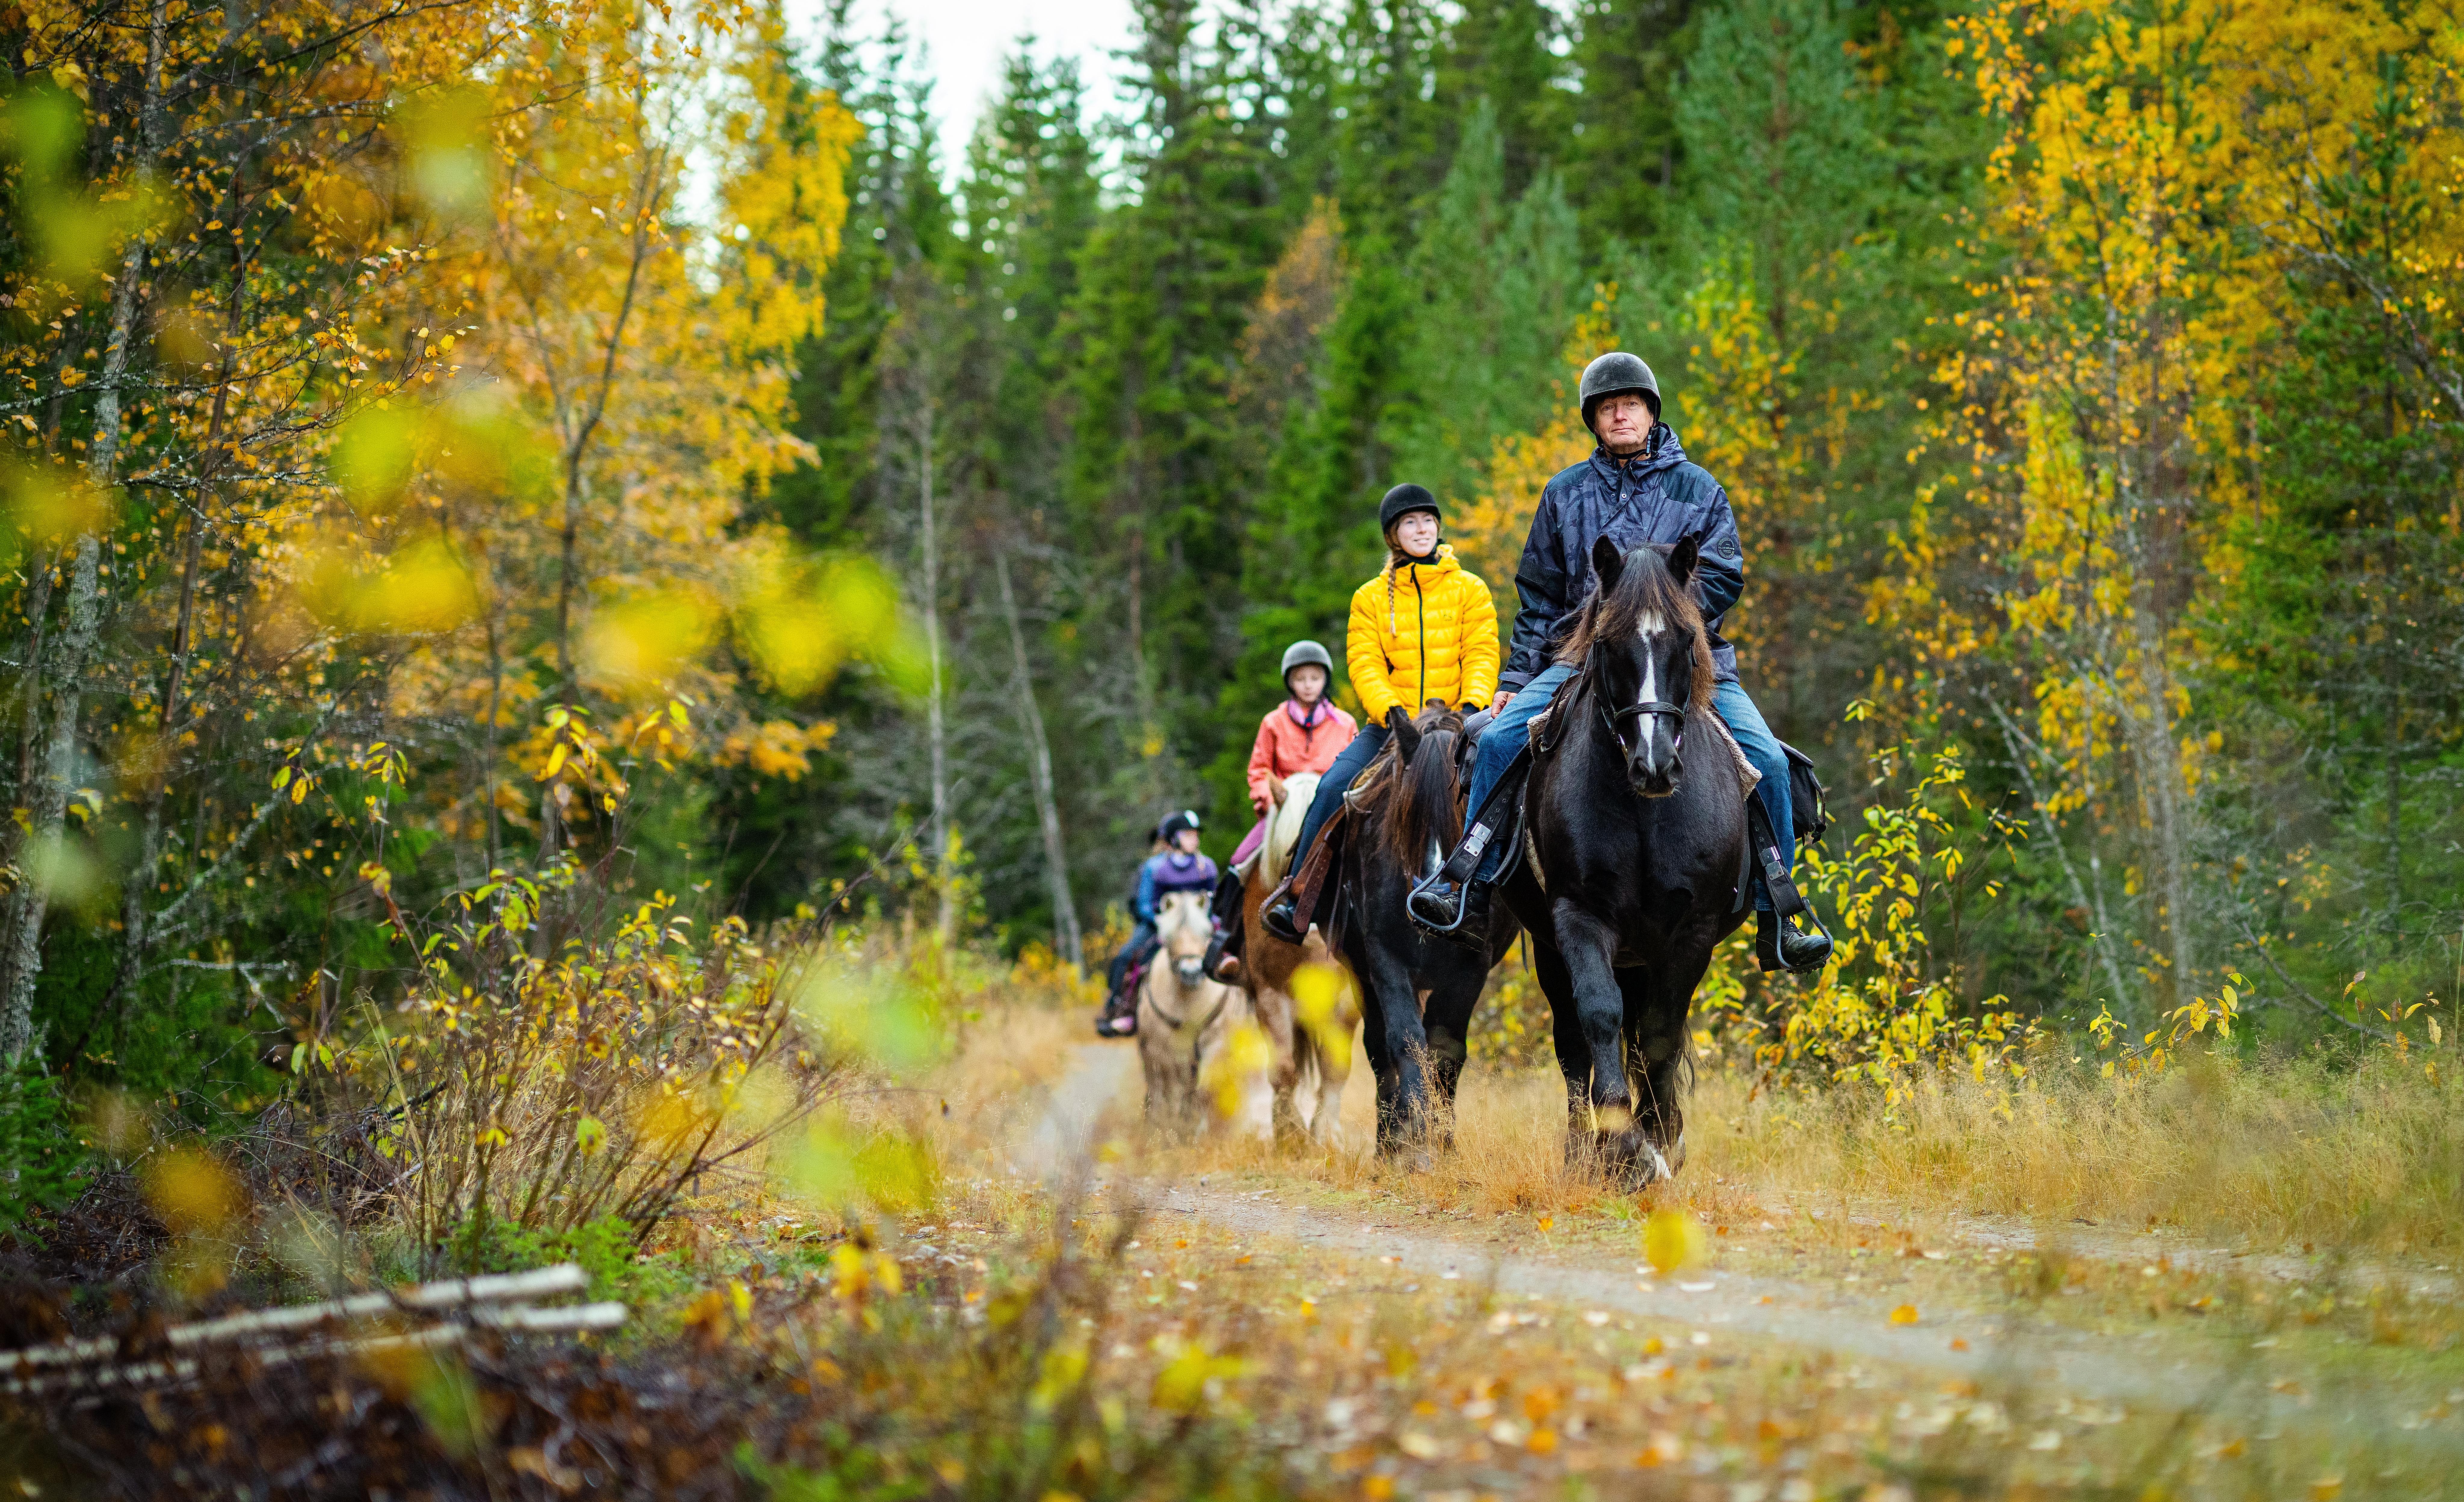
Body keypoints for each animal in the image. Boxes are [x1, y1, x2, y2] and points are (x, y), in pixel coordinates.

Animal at [1136, 888, 1272, 1141]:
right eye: (1168, 936)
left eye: (1206, 932)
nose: (1191, 972)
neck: (1186, 1001)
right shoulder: (1162, 1053)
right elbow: (1170, 1094)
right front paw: (1167, 1132)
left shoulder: (1214, 1044)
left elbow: (1203, 1092)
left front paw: (1199, 1133)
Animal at [1236, 771, 1358, 1147]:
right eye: (1298, 850)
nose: (1314, 929)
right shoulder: (1270, 997)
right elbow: (1283, 1070)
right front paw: (1289, 1134)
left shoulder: (1343, 1002)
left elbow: (1335, 1068)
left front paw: (1327, 1134)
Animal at [1337, 704, 1519, 1163]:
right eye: (1407, 812)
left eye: (1463, 806)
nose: (1430, 900)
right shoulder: (1385, 962)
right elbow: (1405, 1041)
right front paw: (1413, 1135)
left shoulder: (1472, 968)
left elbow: (1447, 1049)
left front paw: (1441, 1138)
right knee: (1378, 1048)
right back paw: (1387, 1141)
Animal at [1502, 535, 1750, 1186]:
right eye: (1608, 643)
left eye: (1685, 641)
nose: (1654, 763)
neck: (1643, 815)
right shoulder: (1579, 918)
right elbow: (1598, 1017)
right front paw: (1621, 1145)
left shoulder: (1690, 933)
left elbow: (1659, 1036)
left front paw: (1660, 1138)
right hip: (1552, 948)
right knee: (1573, 1046)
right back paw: (1580, 1152)